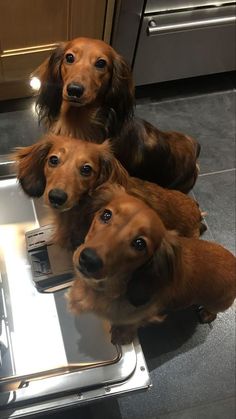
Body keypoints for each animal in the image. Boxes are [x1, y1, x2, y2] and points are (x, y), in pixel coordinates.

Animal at [68, 189, 236, 346]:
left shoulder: (144, 315)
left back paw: (207, 314)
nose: (88, 260)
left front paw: (121, 335)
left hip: (217, 303)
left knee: (214, 311)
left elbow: (129, 324)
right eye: (106, 215)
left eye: (140, 244)